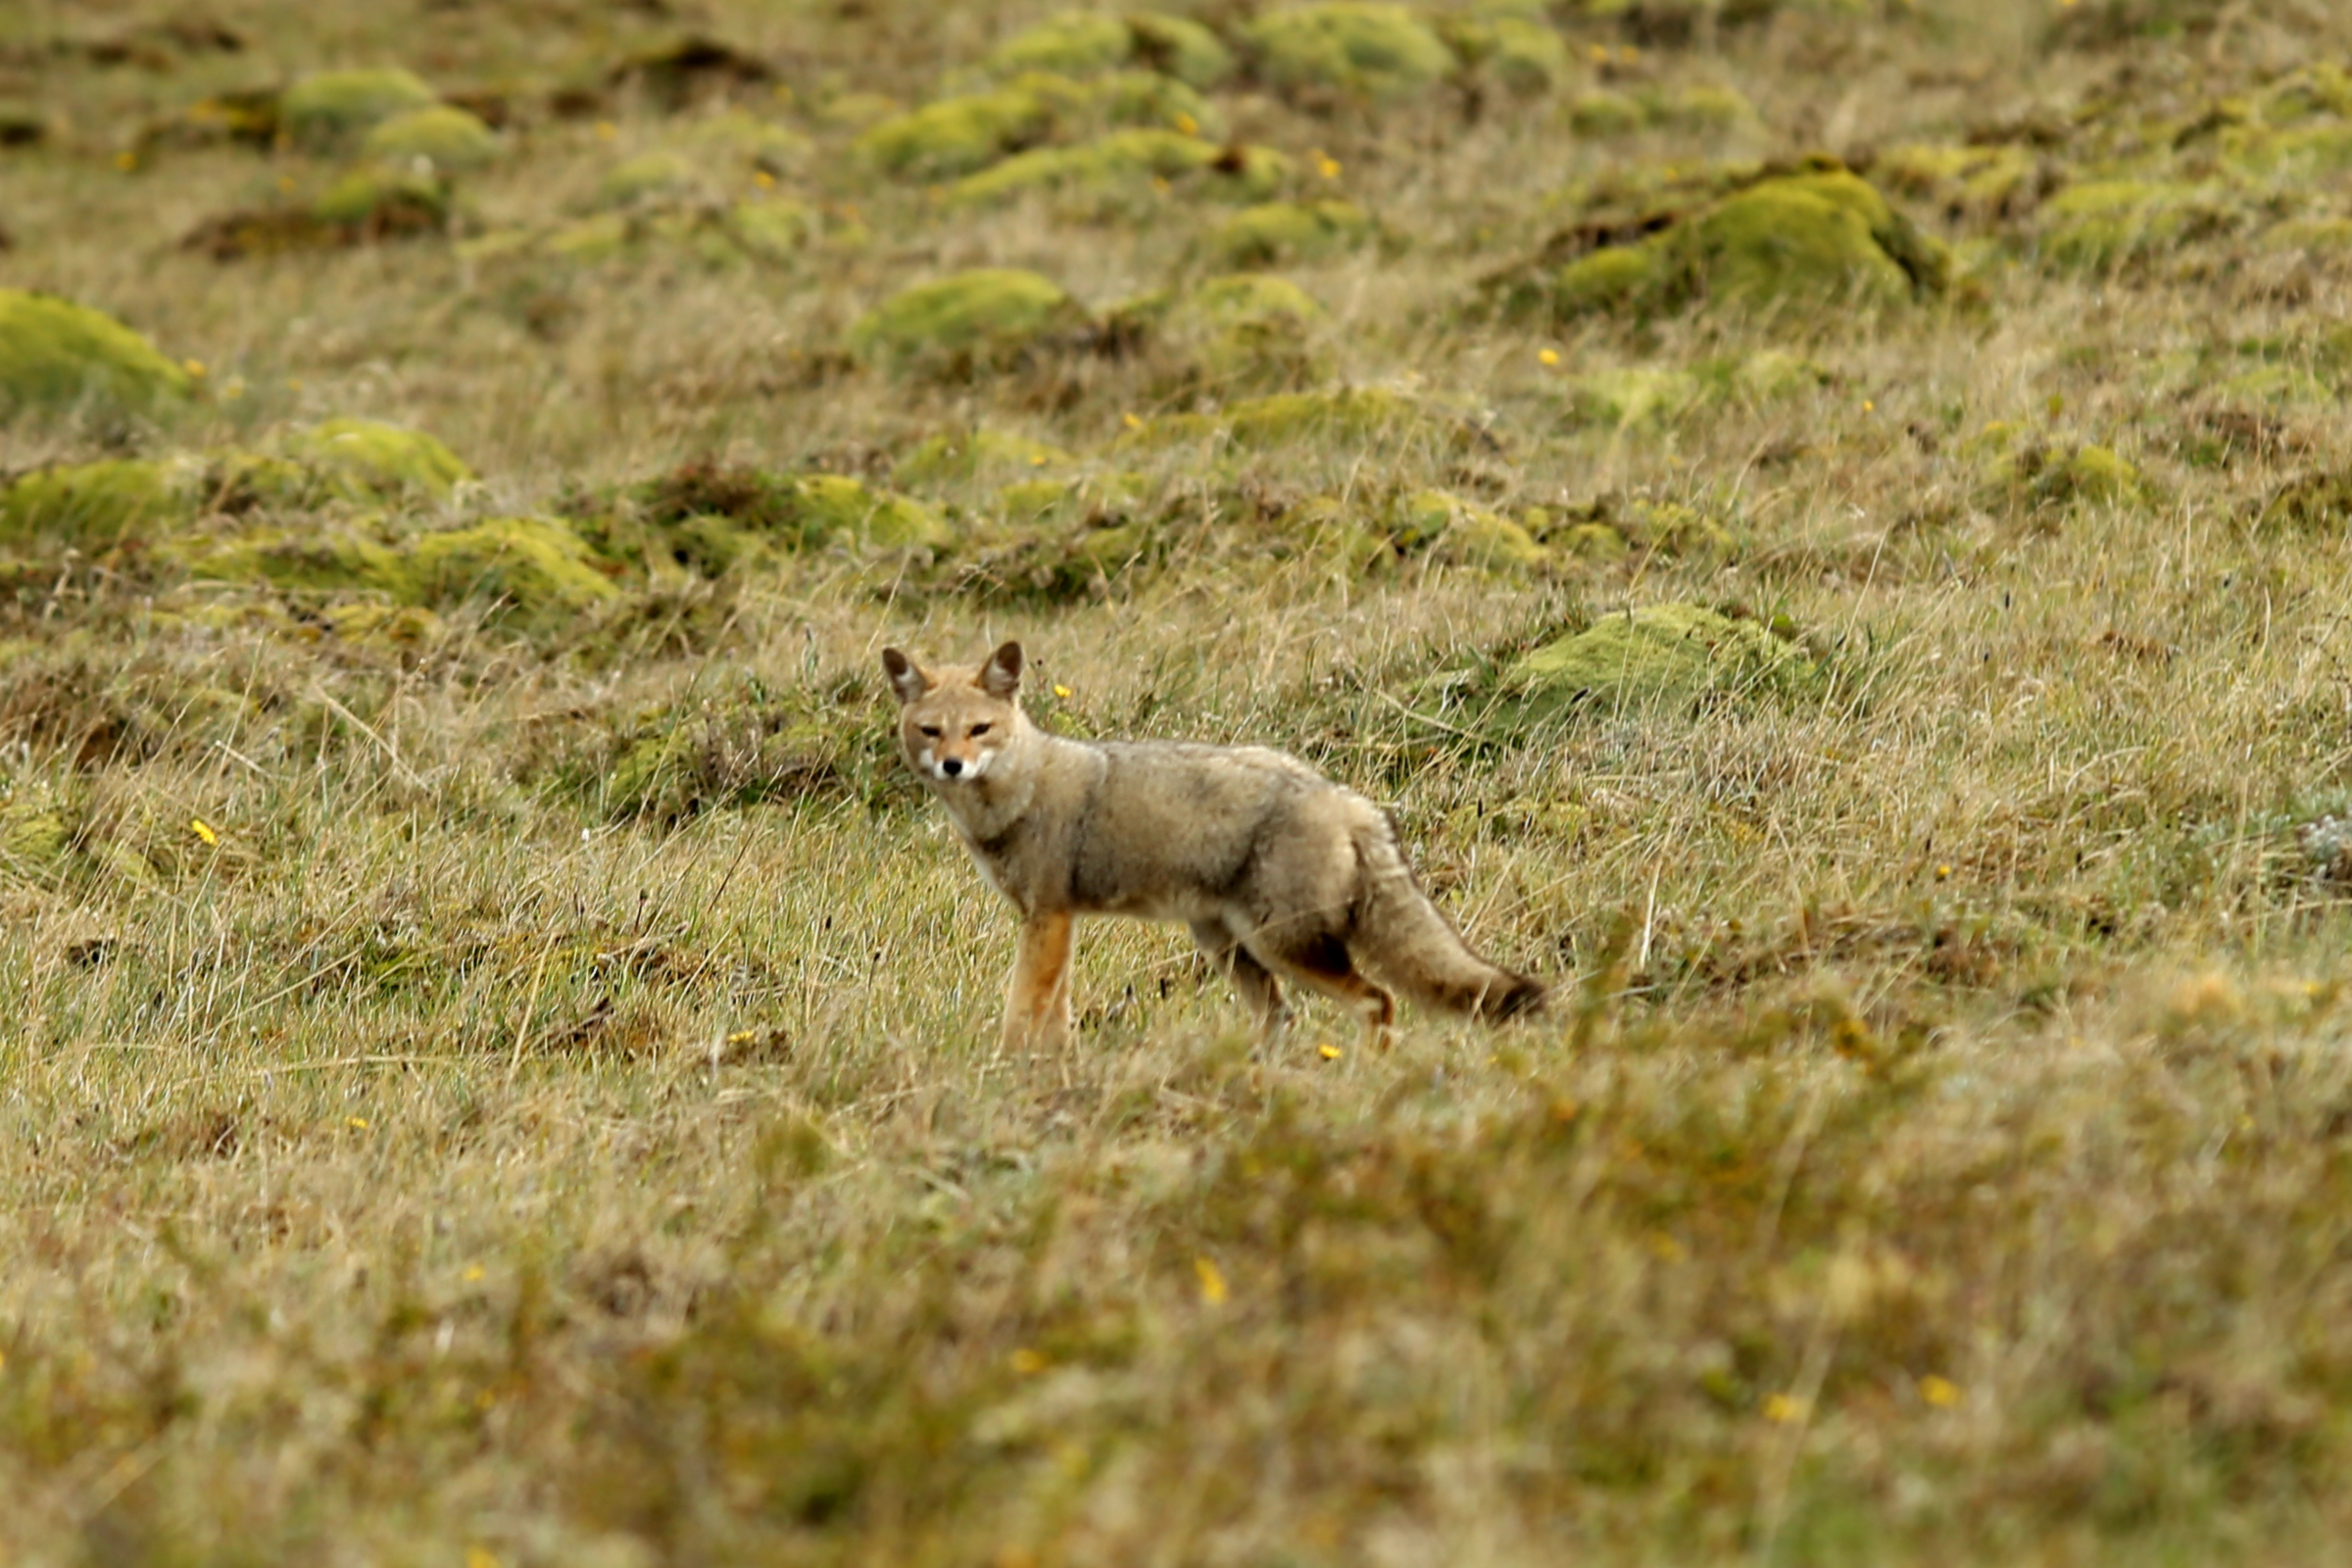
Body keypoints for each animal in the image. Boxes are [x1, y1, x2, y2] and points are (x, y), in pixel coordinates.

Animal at [880, 640, 1546, 1051]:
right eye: (931, 731)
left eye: (980, 729)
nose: (952, 766)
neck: (1019, 790)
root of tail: (1345, 798)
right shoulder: (1052, 921)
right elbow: (1054, 1016)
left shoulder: (1049, 915)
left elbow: (1024, 1011)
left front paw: (1011, 1069)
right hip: (1230, 946)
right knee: (1283, 1018)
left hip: (1282, 945)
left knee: (1376, 1001)